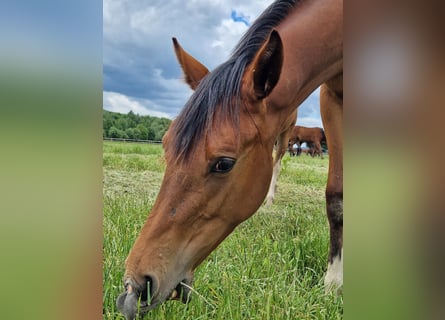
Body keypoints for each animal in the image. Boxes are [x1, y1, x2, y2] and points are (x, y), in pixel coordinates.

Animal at [116, 1, 342, 318]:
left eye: (223, 163)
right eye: (166, 146)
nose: (134, 289)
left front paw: (335, 285)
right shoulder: (332, 99)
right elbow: (335, 199)